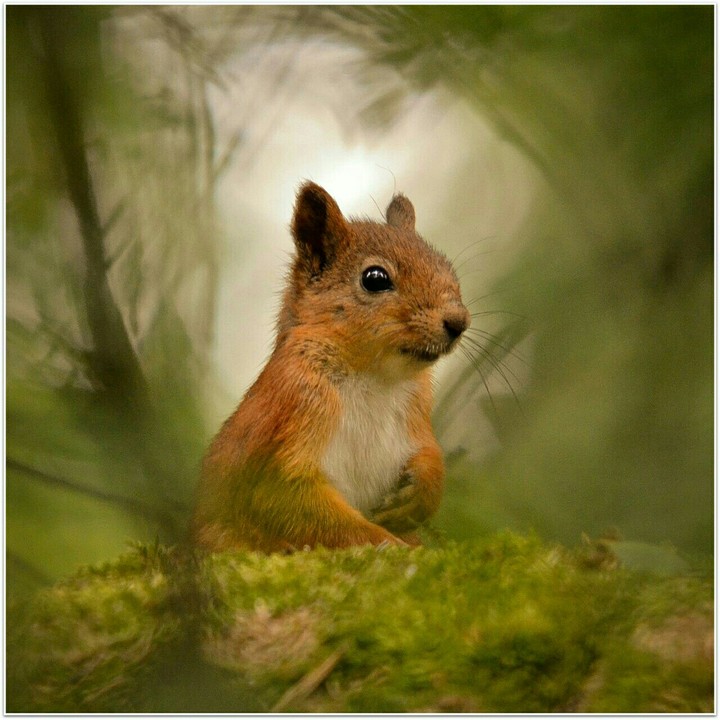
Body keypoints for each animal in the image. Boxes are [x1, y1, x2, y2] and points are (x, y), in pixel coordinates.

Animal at [192, 182, 470, 552]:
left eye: (446, 266)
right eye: (375, 278)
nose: (458, 322)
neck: (374, 376)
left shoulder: (417, 411)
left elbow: (429, 453)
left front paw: (420, 494)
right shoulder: (291, 407)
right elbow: (290, 502)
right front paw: (386, 543)